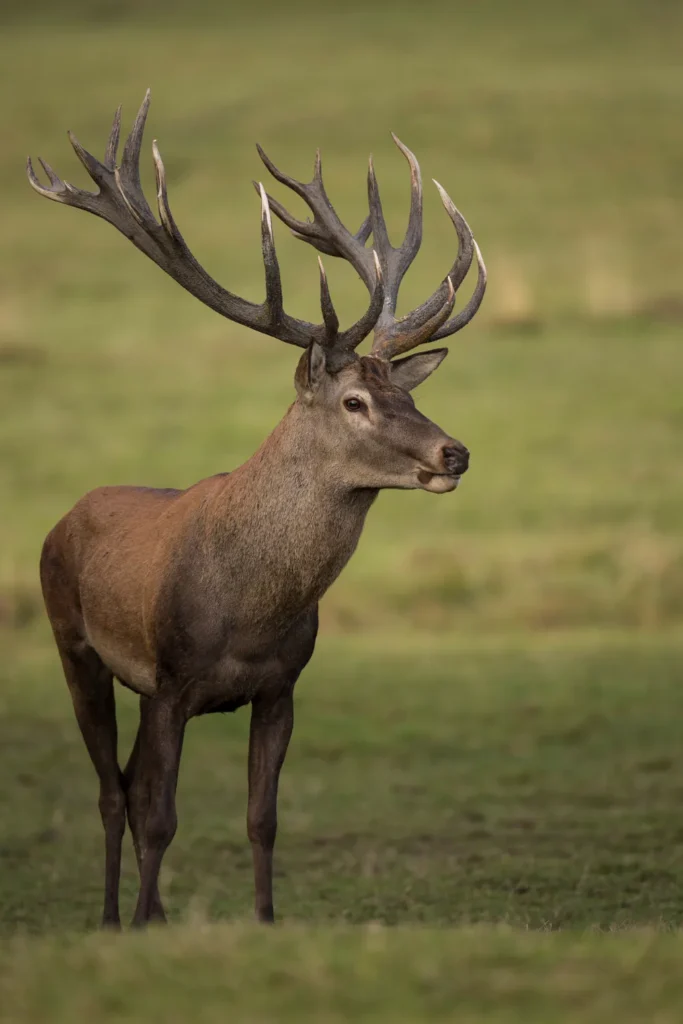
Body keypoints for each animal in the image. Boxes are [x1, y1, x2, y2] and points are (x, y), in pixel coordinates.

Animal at [27, 91, 486, 929]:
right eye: (354, 401)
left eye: (408, 394)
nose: (453, 453)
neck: (248, 611)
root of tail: (67, 514)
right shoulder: (171, 681)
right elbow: (160, 815)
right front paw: (144, 923)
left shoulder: (280, 687)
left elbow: (260, 817)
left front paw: (262, 922)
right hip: (72, 641)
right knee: (112, 793)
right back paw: (111, 918)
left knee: (127, 783)